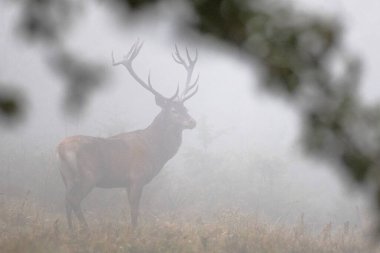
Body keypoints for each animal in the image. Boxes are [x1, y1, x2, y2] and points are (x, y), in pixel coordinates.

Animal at [57, 41, 199, 229]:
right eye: (174, 110)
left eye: (186, 109)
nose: (192, 122)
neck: (155, 151)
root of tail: (59, 148)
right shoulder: (137, 177)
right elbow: (134, 211)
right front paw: (134, 232)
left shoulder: (126, 183)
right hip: (88, 175)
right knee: (74, 200)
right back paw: (86, 230)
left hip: (66, 177)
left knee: (66, 201)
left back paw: (71, 231)